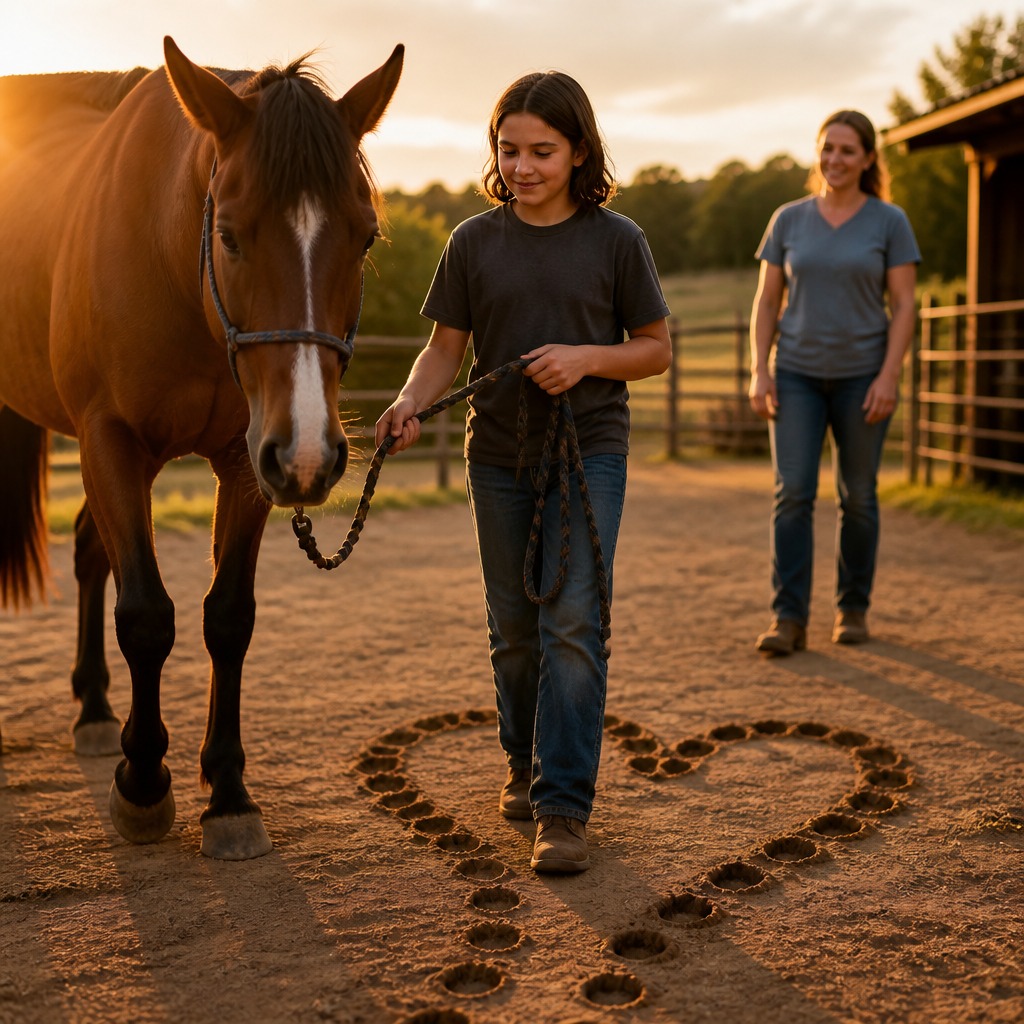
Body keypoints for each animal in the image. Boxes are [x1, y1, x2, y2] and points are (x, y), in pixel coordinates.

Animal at [0, 37, 403, 859]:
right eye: (231, 234)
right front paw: (143, 783)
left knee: (89, 551)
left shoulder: (247, 463)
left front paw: (227, 793)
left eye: (366, 235)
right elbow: (146, 615)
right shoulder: (112, 442)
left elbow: (228, 619)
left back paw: (95, 710)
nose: (312, 454)